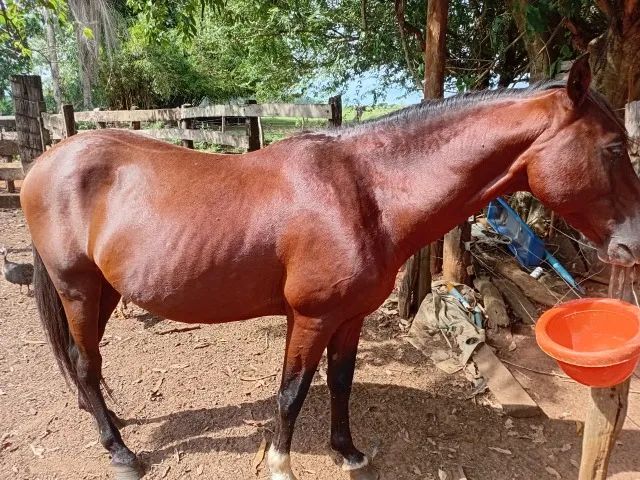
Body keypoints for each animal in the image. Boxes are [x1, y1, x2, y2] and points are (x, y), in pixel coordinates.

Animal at [20, 55, 640, 480]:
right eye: (614, 147)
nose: (633, 243)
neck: (364, 192)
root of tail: (46, 162)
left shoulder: (350, 316)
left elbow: (340, 382)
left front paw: (348, 451)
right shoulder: (311, 317)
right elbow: (292, 392)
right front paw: (280, 464)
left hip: (104, 292)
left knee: (83, 364)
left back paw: (111, 425)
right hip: (78, 289)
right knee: (85, 362)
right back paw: (120, 451)